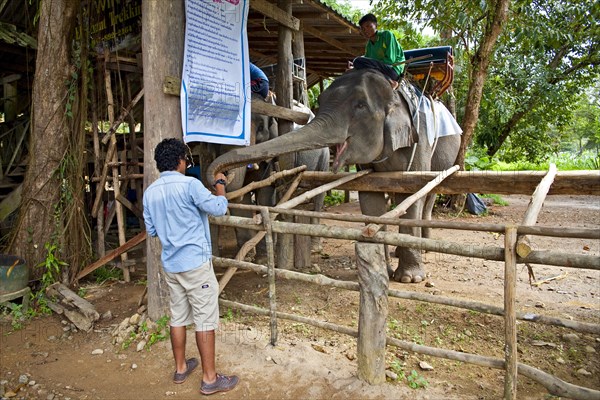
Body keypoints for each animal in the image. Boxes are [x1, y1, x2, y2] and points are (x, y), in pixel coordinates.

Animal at [206, 68, 460, 282]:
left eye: (360, 106)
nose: (218, 177)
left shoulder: (420, 137)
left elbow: (412, 192)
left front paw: (409, 278)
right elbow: (370, 197)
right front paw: (383, 271)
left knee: (429, 194)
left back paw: (424, 246)